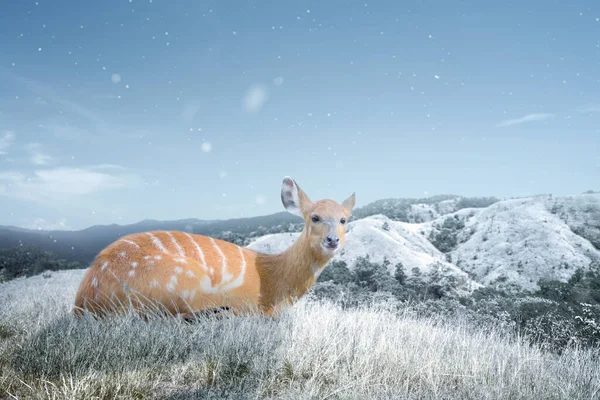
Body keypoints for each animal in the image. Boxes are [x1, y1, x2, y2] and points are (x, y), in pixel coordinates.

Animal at [74, 177, 356, 320]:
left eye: (344, 219)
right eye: (315, 217)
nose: (332, 240)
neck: (275, 281)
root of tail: (84, 300)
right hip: (181, 279)